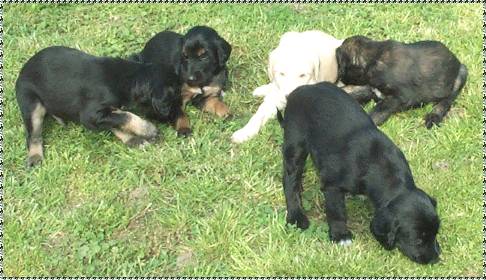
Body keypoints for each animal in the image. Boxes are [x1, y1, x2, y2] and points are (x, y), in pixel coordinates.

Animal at [16, 46, 184, 166]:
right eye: (172, 99)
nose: (171, 118)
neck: (129, 78)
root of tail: (22, 71)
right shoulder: (89, 115)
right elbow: (126, 117)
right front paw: (149, 130)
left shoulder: (106, 113)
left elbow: (118, 120)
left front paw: (136, 137)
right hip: (31, 104)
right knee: (33, 135)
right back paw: (35, 158)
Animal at [278, 81, 440, 264]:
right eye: (417, 240)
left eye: (436, 234)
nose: (435, 259)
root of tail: (298, 90)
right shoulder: (332, 186)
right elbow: (336, 211)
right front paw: (341, 235)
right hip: (295, 142)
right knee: (290, 179)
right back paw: (296, 216)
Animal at [334, 34, 468, 129]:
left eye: (340, 65)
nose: (339, 78)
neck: (374, 58)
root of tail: (457, 61)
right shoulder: (369, 88)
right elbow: (351, 92)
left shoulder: (399, 97)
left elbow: (378, 112)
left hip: (462, 74)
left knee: (447, 101)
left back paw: (433, 117)